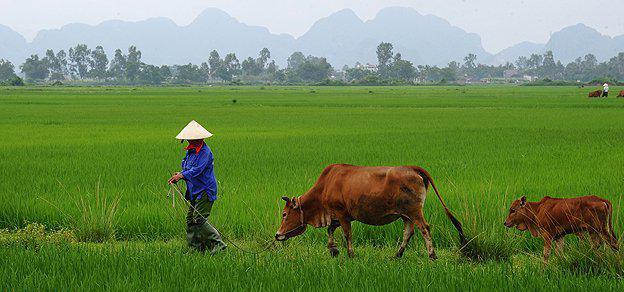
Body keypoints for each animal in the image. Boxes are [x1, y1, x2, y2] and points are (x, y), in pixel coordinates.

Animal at [272, 164, 464, 258]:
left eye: (284, 214)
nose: (277, 234)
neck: (325, 186)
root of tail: (413, 168)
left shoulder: (342, 214)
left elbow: (347, 234)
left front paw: (350, 254)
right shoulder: (336, 217)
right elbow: (330, 230)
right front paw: (333, 250)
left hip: (415, 212)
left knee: (425, 229)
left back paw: (432, 255)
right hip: (406, 215)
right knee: (408, 233)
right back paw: (397, 255)